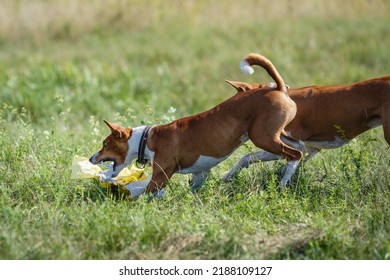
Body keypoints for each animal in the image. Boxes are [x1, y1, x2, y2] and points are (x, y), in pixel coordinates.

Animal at [90, 54, 304, 198]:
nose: (92, 158)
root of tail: (278, 88)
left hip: (262, 137)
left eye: (105, 144)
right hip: (278, 134)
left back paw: (283, 183)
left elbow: (140, 193)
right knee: (298, 148)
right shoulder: (200, 173)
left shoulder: (160, 177)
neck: (146, 138)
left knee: (295, 155)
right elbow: (193, 186)